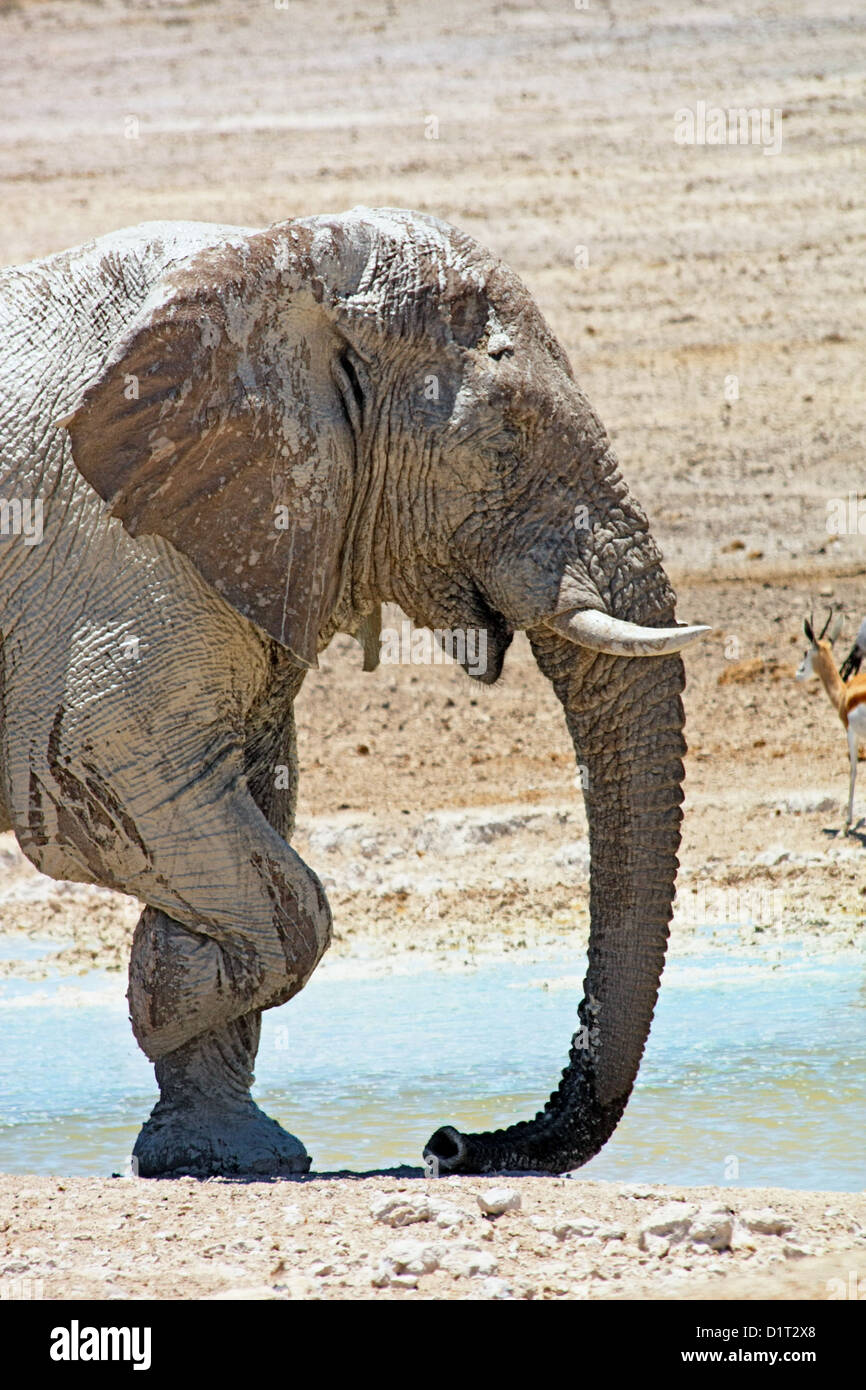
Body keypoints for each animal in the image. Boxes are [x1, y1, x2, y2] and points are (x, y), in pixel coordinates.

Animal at [0, 211, 708, 1178]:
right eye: (508, 437)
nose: (447, 1143)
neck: (276, 266)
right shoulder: (110, 552)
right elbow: (114, 770)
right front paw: (168, 1000)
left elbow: (248, 796)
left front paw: (223, 1149)